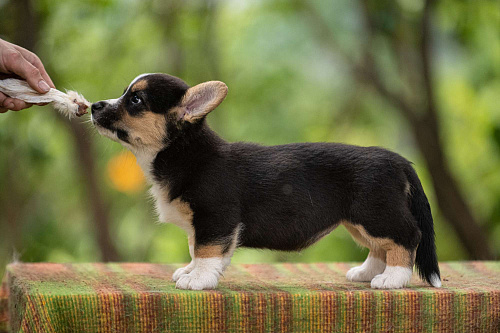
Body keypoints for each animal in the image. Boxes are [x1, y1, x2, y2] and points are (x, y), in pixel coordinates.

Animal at [92, 74, 440, 290]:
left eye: (136, 100)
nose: (94, 106)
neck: (184, 152)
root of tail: (399, 161)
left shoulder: (215, 218)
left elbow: (205, 251)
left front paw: (198, 279)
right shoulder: (205, 225)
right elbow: (196, 249)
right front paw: (190, 271)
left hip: (375, 213)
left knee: (407, 236)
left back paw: (393, 279)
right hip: (360, 221)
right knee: (381, 246)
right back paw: (367, 273)